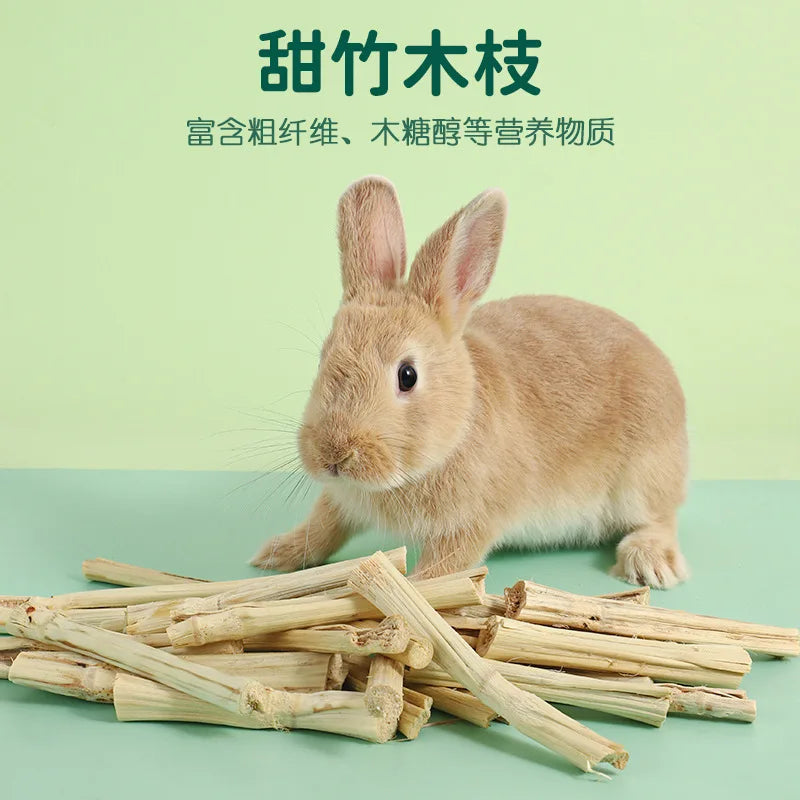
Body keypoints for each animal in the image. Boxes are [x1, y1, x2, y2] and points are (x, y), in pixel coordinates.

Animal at [251, 176, 689, 588]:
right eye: (324, 358)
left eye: (407, 375)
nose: (334, 455)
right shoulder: (343, 501)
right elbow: (323, 526)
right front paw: (276, 554)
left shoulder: (472, 522)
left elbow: (444, 566)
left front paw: (412, 591)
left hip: (643, 476)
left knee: (660, 518)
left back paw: (649, 564)